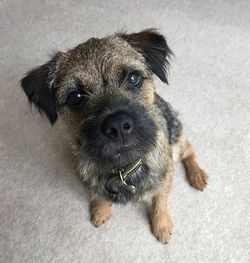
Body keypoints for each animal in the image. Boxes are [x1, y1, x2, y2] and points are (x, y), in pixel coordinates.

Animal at [20, 28, 207, 243]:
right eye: (76, 97)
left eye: (133, 78)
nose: (117, 125)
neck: (122, 168)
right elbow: (98, 194)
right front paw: (100, 211)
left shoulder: (164, 177)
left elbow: (160, 201)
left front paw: (161, 225)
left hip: (175, 141)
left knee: (188, 148)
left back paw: (197, 175)